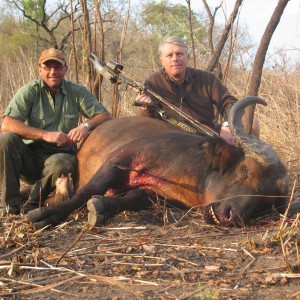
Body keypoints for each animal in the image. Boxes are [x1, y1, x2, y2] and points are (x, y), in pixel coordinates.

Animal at [27, 97, 288, 229]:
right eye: (246, 169)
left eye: (266, 201)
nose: (229, 215)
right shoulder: (118, 160)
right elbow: (87, 191)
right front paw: (45, 215)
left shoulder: (156, 195)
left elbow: (127, 200)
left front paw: (101, 207)